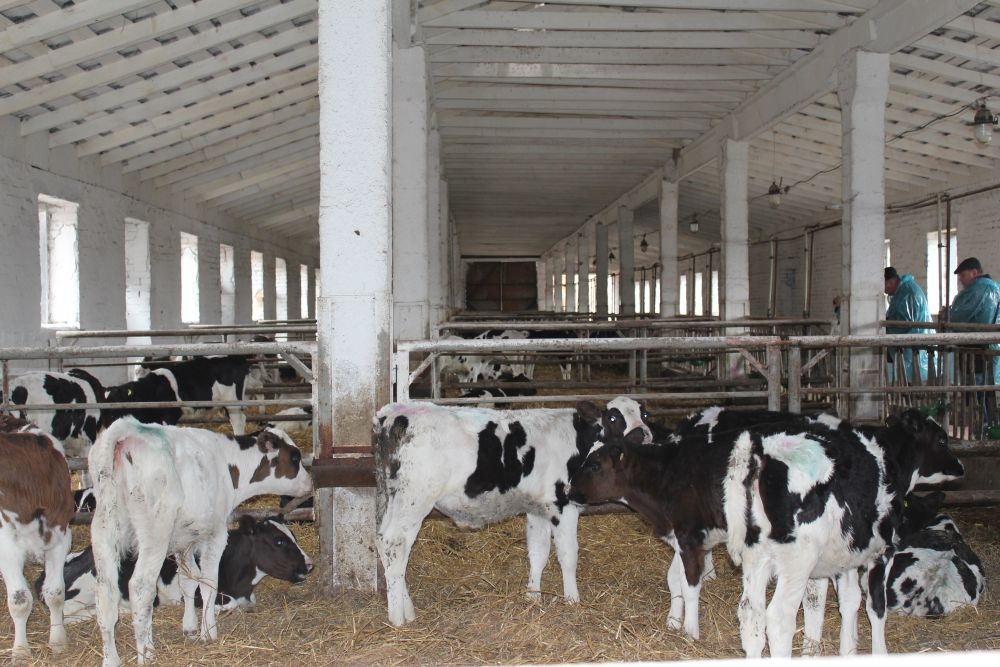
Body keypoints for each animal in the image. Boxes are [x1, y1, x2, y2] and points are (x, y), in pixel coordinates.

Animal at [0, 424, 74, 661]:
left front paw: (58, 641)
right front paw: (21, 651)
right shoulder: (6, 549)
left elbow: (55, 593)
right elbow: (20, 601)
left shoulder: (61, 538)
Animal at [88, 417, 313, 667]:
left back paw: (111, 658)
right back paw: (147, 653)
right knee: (140, 586)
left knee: (105, 593)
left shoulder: (185, 539)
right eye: (295, 457)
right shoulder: (215, 534)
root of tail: (127, 431)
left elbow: (188, 581)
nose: (310, 483)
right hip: (155, 532)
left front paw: (190, 628)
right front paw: (209, 632)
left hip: (104, 528)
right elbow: (208, 583)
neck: (227, 463)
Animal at [103, 355, 264, 435]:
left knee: (238, 421)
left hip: (232, 402)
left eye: (115, 403)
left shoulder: (170, 415)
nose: (104, 427)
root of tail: (236, 358)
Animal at [373, 400, 616, 626]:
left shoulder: (538, 510)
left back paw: (407, 610)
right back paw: (398, 618)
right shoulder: (564, 506)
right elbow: (568, 555)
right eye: (614, 418)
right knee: (394, 543)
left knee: (383, 541)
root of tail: (393, 412)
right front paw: (573, 600)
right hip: (413, 500)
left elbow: (538, 552)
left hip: (392, 497)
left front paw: (533, 597)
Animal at [723, 409, 964, 658]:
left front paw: (847, 649)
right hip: (797, 561)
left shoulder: (846, 552)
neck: (888, 461)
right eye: (942, 440)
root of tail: (761, 455)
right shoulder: (882, 549)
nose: (960, 467)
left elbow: (848, 600)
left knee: (751, 615)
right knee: (779, 619)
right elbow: (876, 606)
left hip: (755, 557)